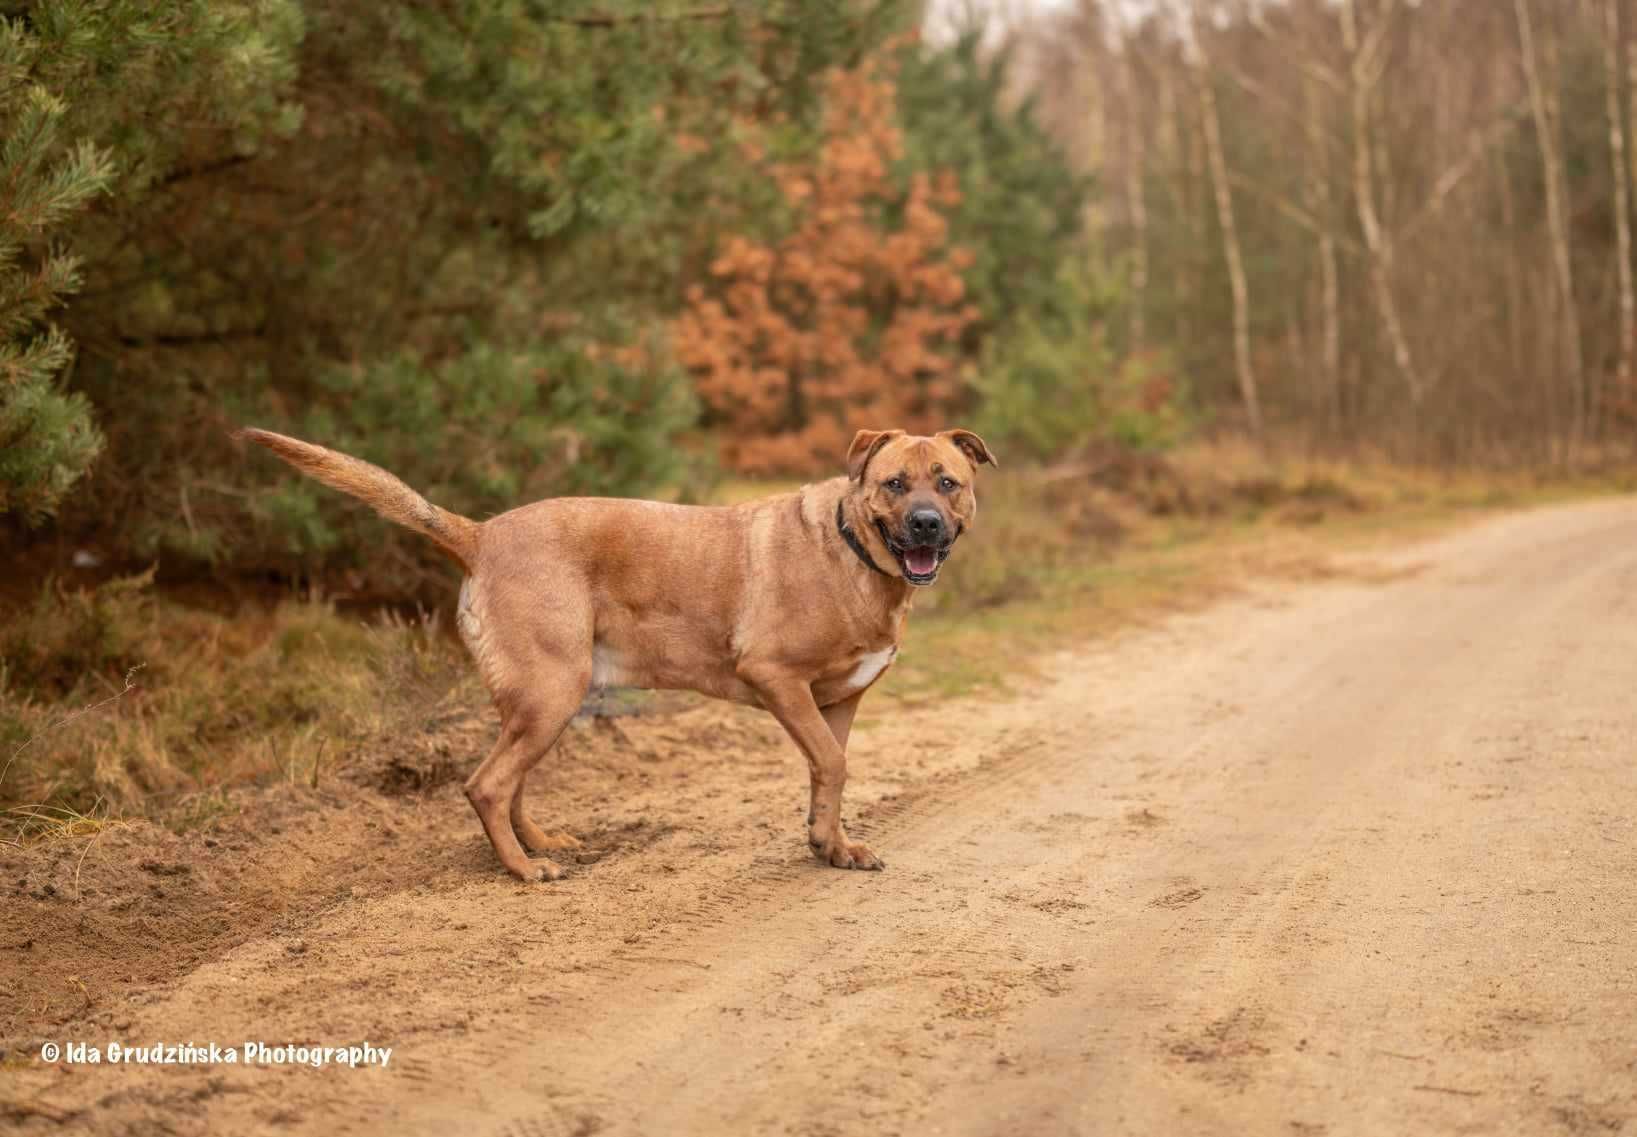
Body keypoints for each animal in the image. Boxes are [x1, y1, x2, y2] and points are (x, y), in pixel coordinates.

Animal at [235, 425, 988, 883]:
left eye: (947, 482)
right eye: (895, 484)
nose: (926, 523)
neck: (855, 553)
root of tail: (480, 534)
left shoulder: (839, 700)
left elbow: (826, 773)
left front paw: (830, 845)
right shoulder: (777, 678)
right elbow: (831, 764)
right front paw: (827, 843)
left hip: (541, 701)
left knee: (508, 782)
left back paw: (538, 844)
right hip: (551, 693)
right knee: (485, 784)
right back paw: (523, 869)